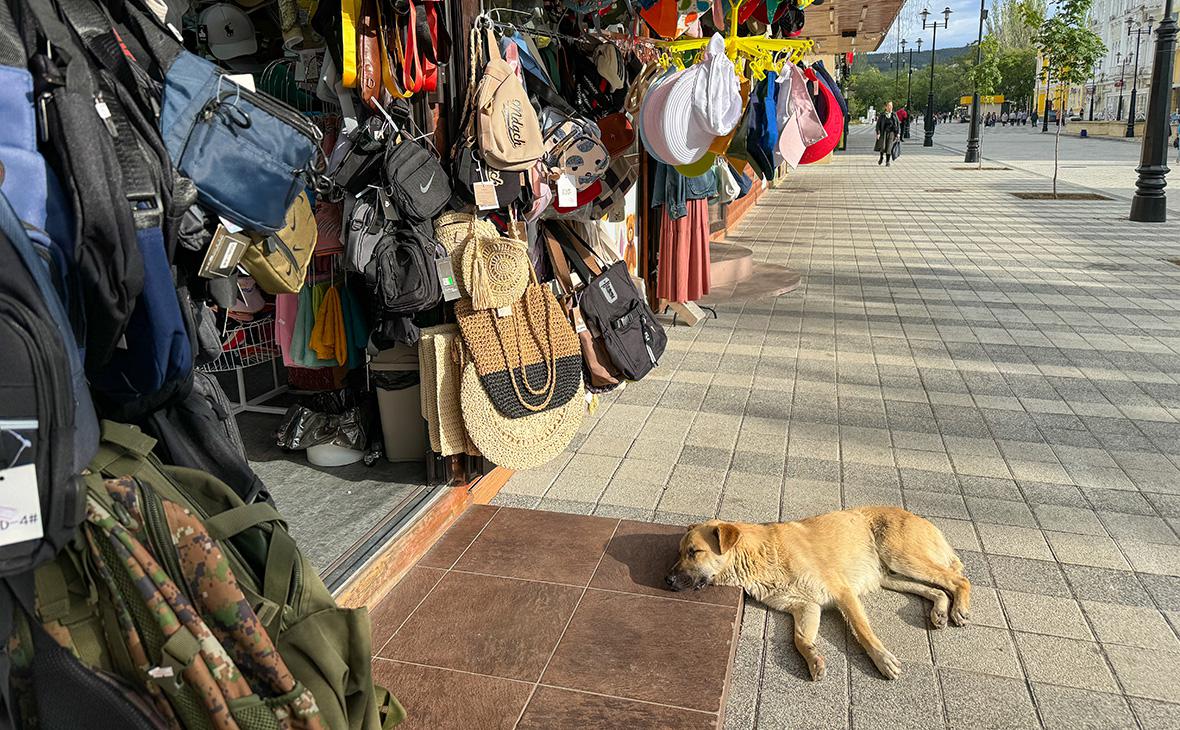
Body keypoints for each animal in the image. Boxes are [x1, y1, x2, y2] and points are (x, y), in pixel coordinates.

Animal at [670, 509, 972, 679]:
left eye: (694, 552)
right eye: (679, 553)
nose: (667, 579)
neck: (760, 556)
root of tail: (919, 517)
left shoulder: (843, 593)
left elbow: (862, 631)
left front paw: (882, 658)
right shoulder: (806, 606)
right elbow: (799, 639)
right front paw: (813, 657)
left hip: (901, 556)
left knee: (959, 579)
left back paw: (959, 608)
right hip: (892, 575)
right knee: (936, 589)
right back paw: (940, 610)